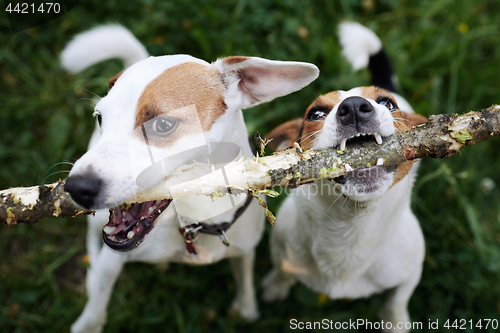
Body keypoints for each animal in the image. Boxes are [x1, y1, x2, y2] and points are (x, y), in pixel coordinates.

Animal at [58, 24, 316, 330]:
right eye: (100, 119)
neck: (196, 221)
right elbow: (98, 299)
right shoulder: (112, 262)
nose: (76, 187)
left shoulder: (244, 250)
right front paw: (89, 323)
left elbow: (244, 279)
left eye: (162, 125)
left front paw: (246, 308)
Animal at [260, 22, 428, 330]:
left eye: (387, 103)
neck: (352, 227)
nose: (353, 108)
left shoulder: (411, 271)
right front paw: (277, 285)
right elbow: (283, 270)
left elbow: (397, 300)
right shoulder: (282, 248)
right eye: (315, 113)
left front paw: (395, 322)